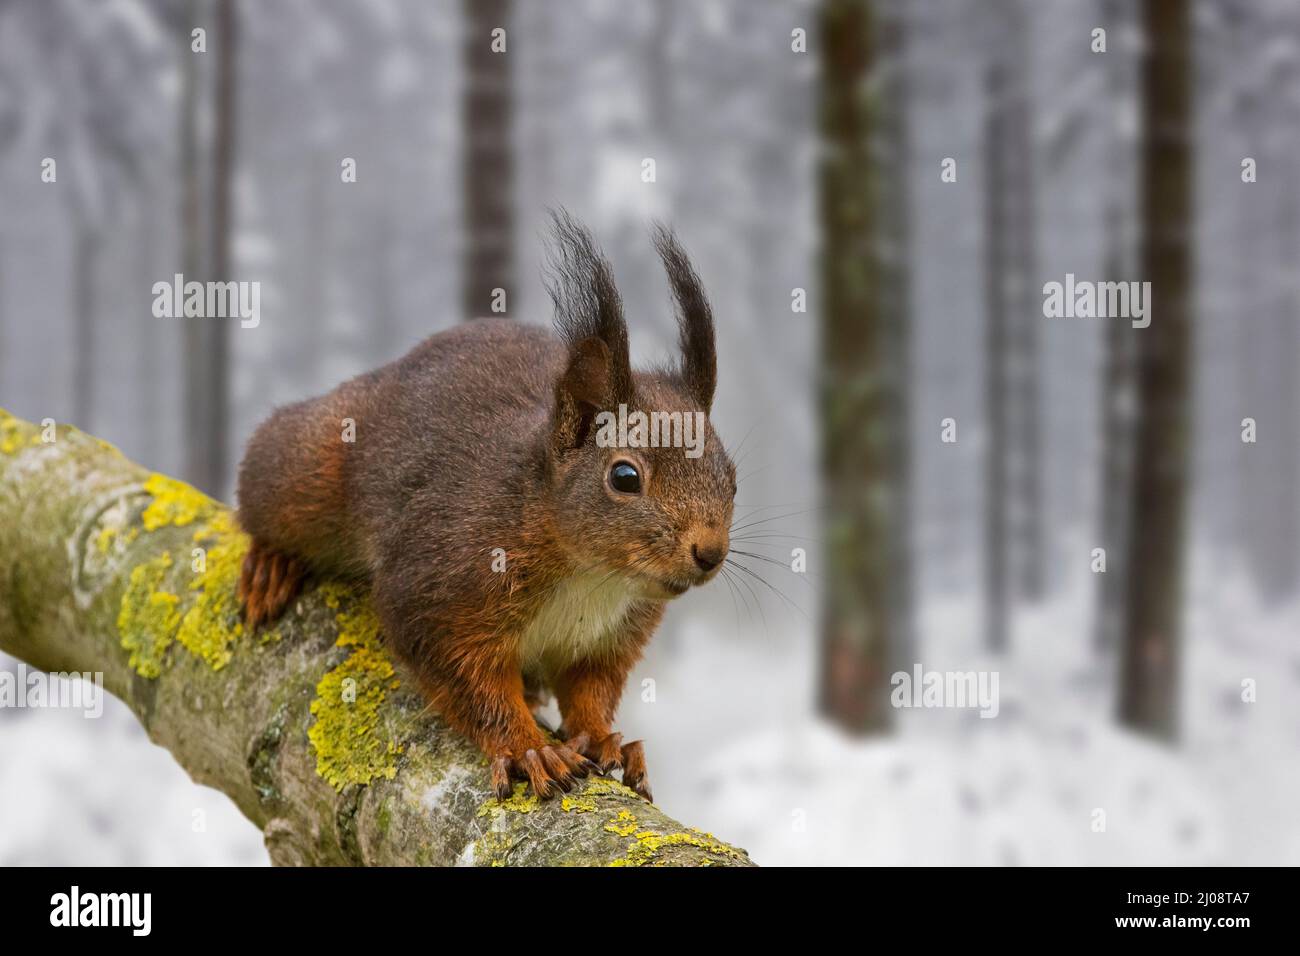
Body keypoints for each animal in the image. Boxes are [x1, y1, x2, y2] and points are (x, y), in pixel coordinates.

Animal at [234, 213, 735, 801]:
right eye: (625, 477)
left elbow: (591, 688)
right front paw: (528, 749)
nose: (710, 552)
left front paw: (603, 739)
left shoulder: (611, 635)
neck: (591, 575)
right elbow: (467, 680)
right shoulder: (441, 583)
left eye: (731, 478)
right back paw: (270, 564)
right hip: (311, 468)